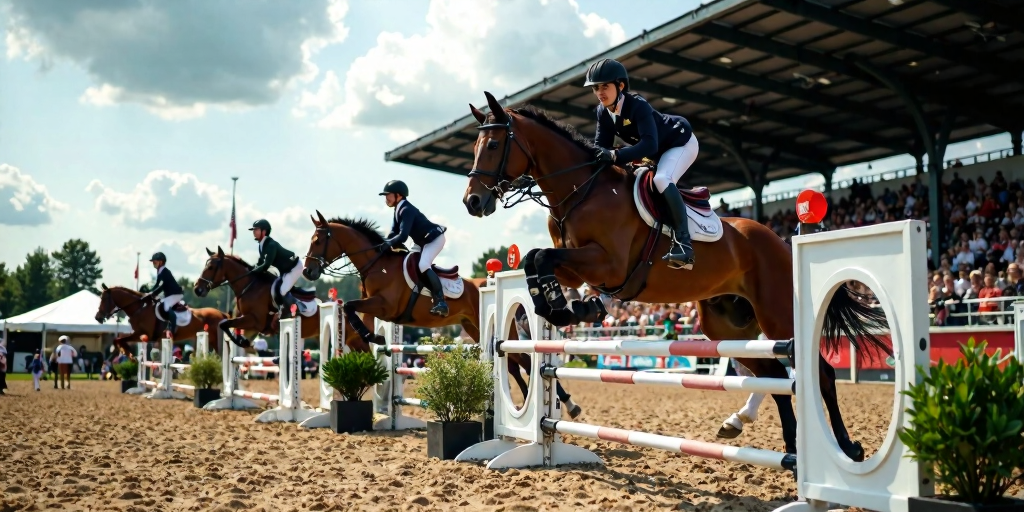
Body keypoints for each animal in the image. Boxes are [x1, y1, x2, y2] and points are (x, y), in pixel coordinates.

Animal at [94, 284, 230, 356]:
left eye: (104, 299)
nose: (97, 317)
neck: (140, 308)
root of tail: (221, 313)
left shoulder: (143, 334)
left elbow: (119, 340)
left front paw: (129, 355)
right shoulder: (141, 335)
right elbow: (118, 340)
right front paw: (128, 354)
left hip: (215, 340)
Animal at [299, 211, 581, 415]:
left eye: (318, 240)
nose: (307, 272)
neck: (376, 265)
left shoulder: (384, 306)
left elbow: (350, 307)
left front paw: (374, 337)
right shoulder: (378, 308)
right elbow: (350, 308)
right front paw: (373, 340)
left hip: (498, 329)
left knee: (524, 360)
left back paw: (568, 404)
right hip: (474, 329)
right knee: (513, 364)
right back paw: (524, 402)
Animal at [460, 92, 892, 464]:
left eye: (494, 145)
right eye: (477, 146)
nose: (472, 202)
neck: (581, 189)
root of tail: (782, 241)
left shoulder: (607, 262)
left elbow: (542, 257)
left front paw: (561, 307)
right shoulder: (577, 263)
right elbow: (535, 258)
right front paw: (566, 306)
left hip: (778, 315)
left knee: (820, 373)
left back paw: (847, 448)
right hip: (728, 326)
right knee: (774, 379)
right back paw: (779, 442)